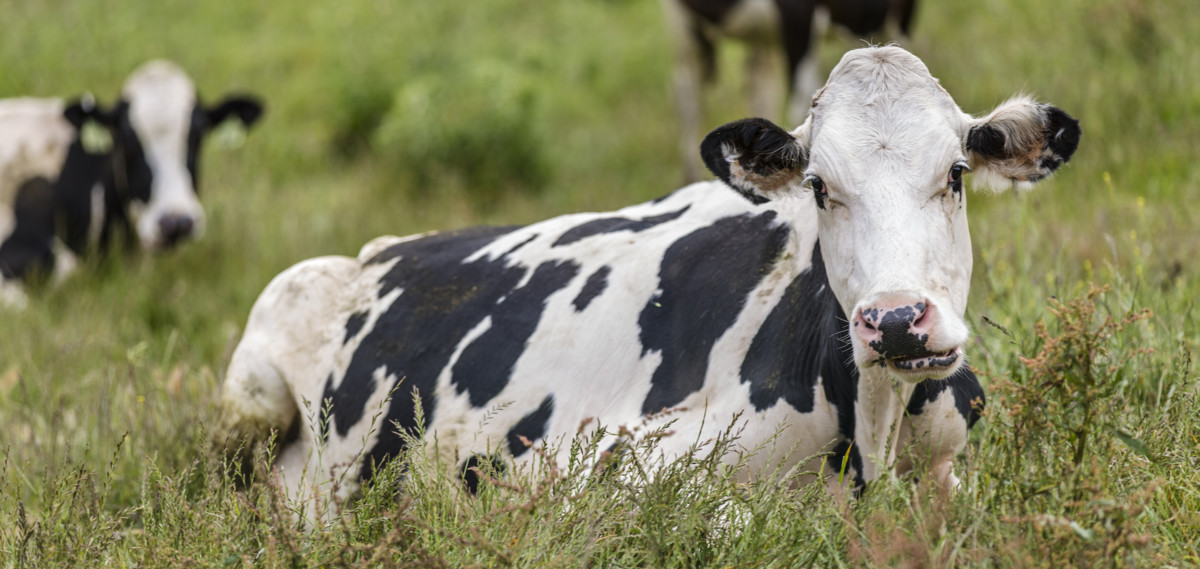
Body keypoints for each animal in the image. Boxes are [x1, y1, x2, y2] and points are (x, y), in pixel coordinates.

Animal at [220, 46, 1080, 521]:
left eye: (957, 173)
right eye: (820, 187)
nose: (897, 320)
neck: (873, 428)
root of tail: (375, 250)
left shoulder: (953, 475)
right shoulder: (583, 468)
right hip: (248, 397)